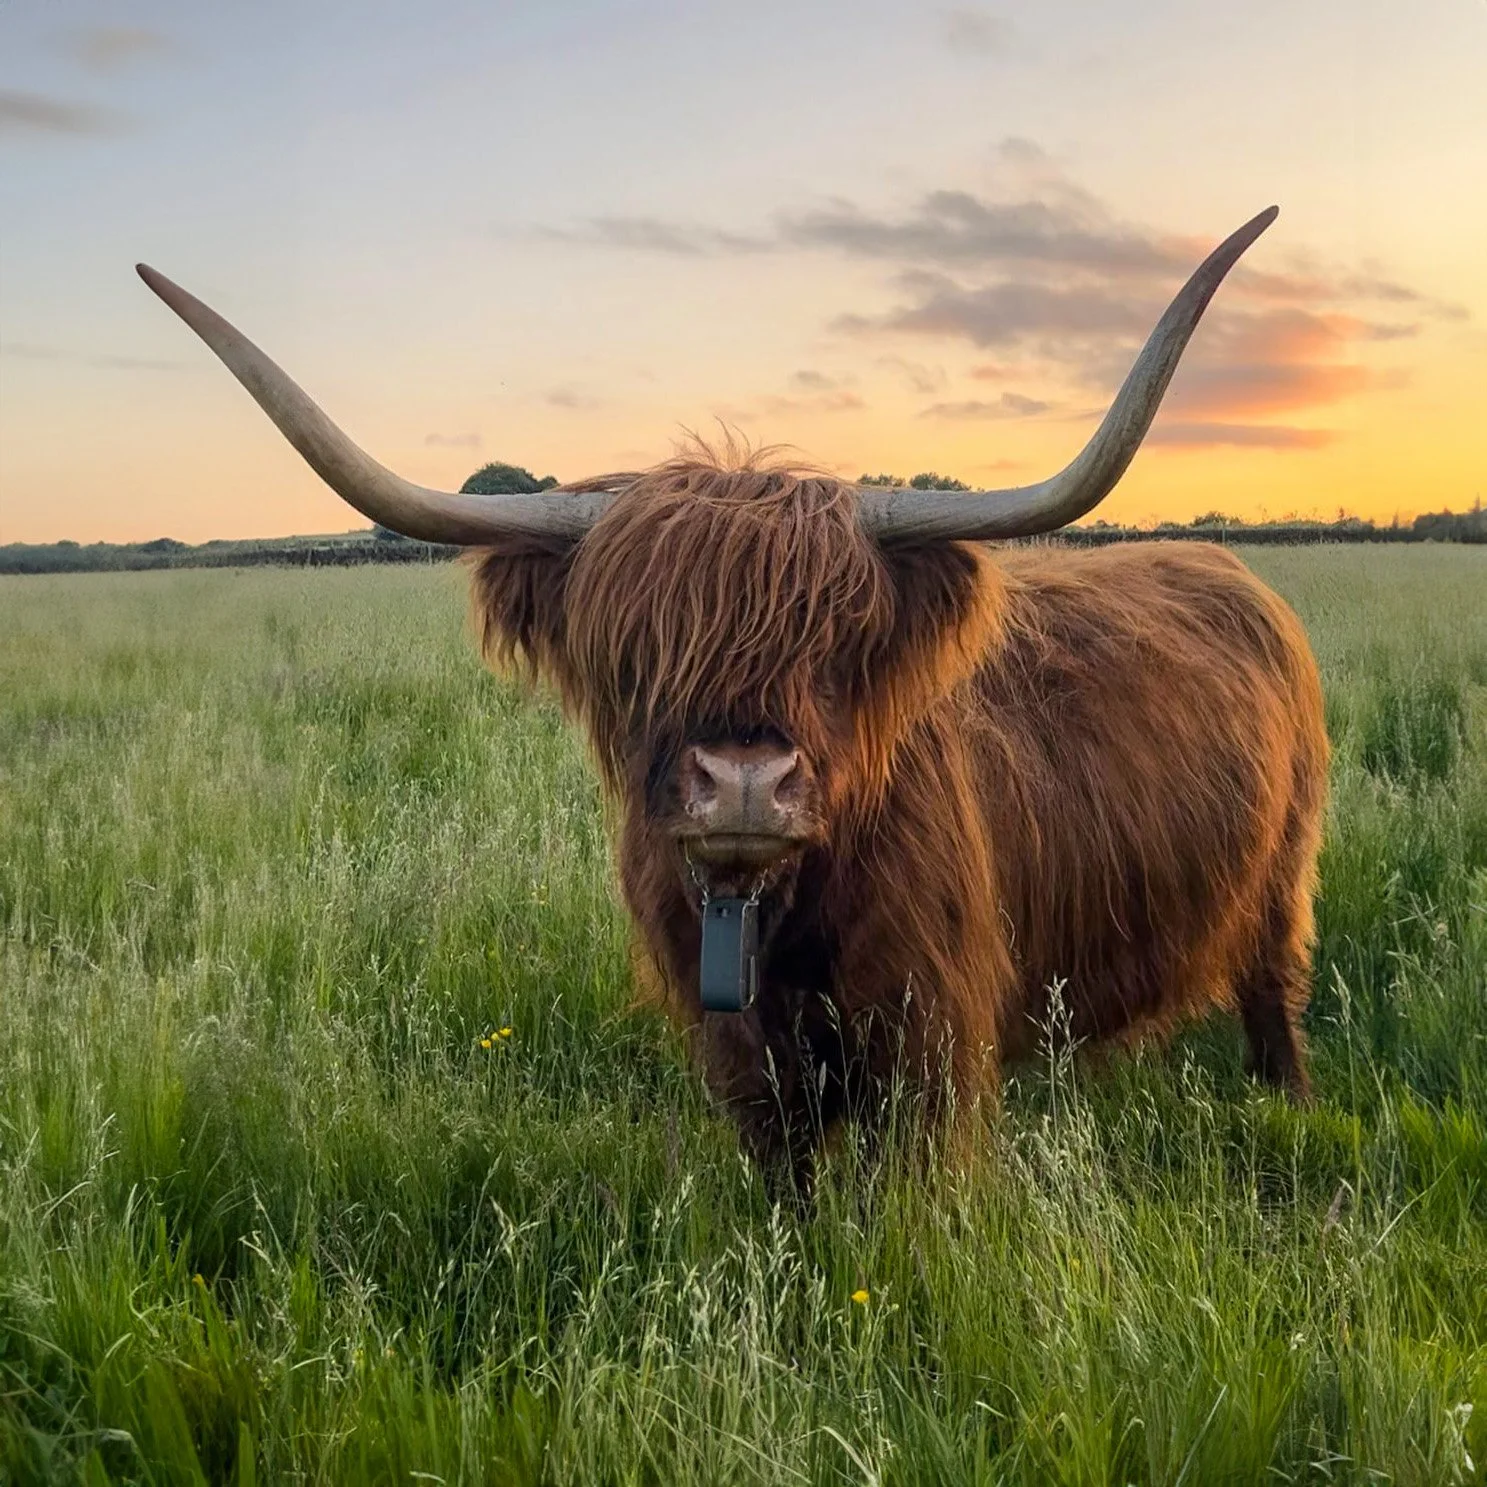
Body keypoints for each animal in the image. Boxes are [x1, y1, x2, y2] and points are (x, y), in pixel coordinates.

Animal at [138, 206, 1329, 1192]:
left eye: (839, 643)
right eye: (633, 652)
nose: (743, 783)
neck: (775, 914)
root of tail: (1232, 571)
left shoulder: (929, 1030)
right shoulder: (743, 1056)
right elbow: (785, 1185)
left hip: (1281, 879)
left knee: (1272, 994)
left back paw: (1289, 1110)